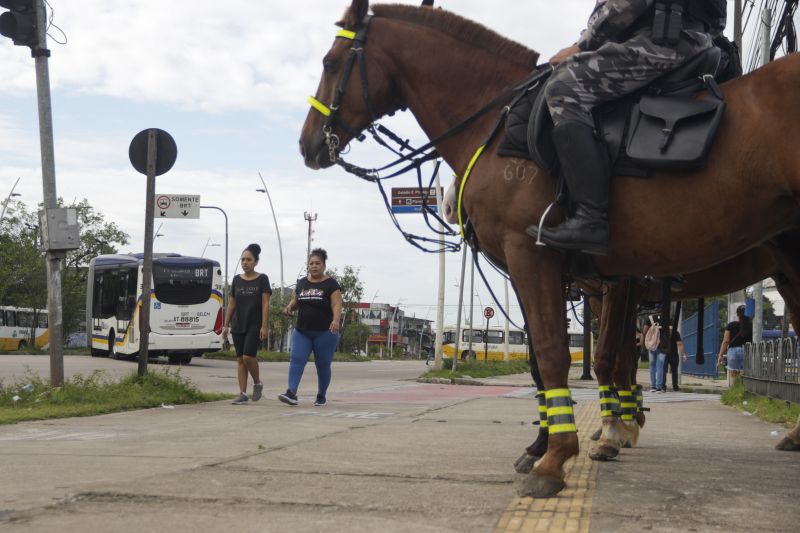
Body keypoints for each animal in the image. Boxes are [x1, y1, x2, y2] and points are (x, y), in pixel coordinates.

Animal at [296, 2, 800, 496]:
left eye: (328, 63)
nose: (306, 143)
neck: (493, 123)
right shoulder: (563, 275)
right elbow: (551, 361)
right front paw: (551, 442)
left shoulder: (554, 263)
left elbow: (572, 354)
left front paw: (566, 453)